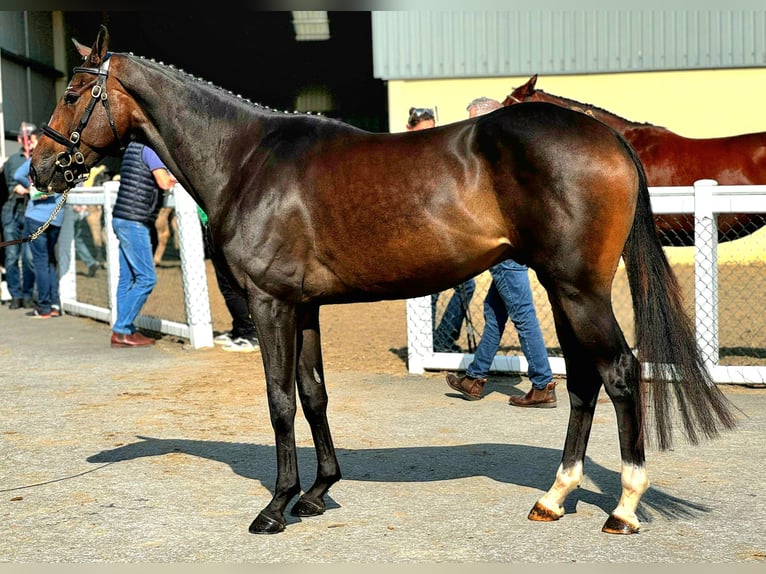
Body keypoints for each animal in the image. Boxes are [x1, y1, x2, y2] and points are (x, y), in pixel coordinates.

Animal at [31, 26, 736, 536]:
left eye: (73, 94)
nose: (40, 169)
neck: (248, 158)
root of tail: (612, 141)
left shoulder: (269, 304)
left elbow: (280, 400)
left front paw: (276, 507)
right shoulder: (305, 306)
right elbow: (313, 394)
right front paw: (318, 493)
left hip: (579, 290)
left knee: (620, 373)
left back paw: (623, 508)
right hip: (564, 290)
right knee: (587, 380)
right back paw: (554, 498)